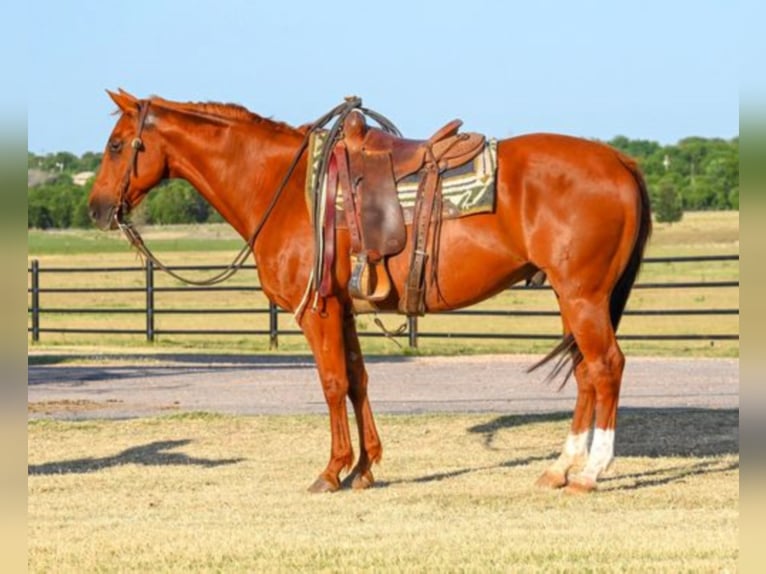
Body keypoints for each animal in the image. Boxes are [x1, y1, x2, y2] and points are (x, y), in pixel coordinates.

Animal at [90, 90, 656, 496]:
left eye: (117, 146)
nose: (96, 209)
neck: (285, 188)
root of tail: (619, 160)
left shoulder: (317, 311)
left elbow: (332, 383)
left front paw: (332, 470)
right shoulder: (343, 309)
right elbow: (359, 381)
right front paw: (363, 469)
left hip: (582, 296)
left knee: (606, 366)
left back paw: (591, 472)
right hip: (573, 298)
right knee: (585, 372)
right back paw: (560, 468)